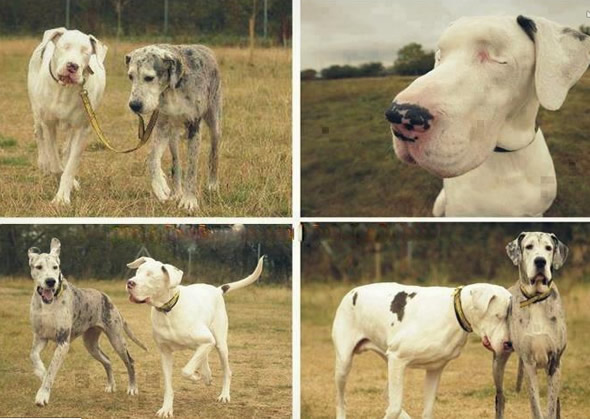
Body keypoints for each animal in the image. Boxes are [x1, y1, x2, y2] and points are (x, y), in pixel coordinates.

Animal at [28, 240, 147, 406]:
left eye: (55, 267)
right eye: (38, 267)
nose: (51, 281)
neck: (48, 304)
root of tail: (107, 298)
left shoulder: (63, 342)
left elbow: (51, 370)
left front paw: (42, 395)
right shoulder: (40, 337)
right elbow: (33, 355)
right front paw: (41, 372)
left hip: (117, 340)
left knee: (130, 362)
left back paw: (132, 388)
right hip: (91, 345)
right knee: (107, 361)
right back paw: (111, 385)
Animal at [126, 45, 223, 213]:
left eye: (149, 78)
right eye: (131, 76)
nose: (134, 105)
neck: (174, 88)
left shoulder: (194, 127)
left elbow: (192, 167)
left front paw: (189, 200)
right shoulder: (162, 126)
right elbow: (152, 158)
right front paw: (159, 186)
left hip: (214, 123)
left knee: (214, 154)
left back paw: (212, 184)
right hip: (172, 136)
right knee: (176, 163)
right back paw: (177, 191)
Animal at [127, 256, 266, 416]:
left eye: (150, 275)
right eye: (137, 272)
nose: (129, 283)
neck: (168, 311)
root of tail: (217, 290)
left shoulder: (208, 340)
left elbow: (186, 370)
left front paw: (195, 376)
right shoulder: (165, 353)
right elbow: (169, 386)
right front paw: (166, 408)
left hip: (220, 344)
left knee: (226, 371)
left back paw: (224, 394)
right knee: (202, 356)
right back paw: (207, 375)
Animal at [332, 282, 512, 419]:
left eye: (509, 318)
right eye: (498, 316)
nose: (509, 344)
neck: (453, 312)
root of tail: (352, 292)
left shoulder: (434, 370)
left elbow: (426, 411)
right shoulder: (398, 359)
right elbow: (395, 408)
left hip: (390, 362)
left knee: (387, 394)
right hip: (345, 364)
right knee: (341, 400)